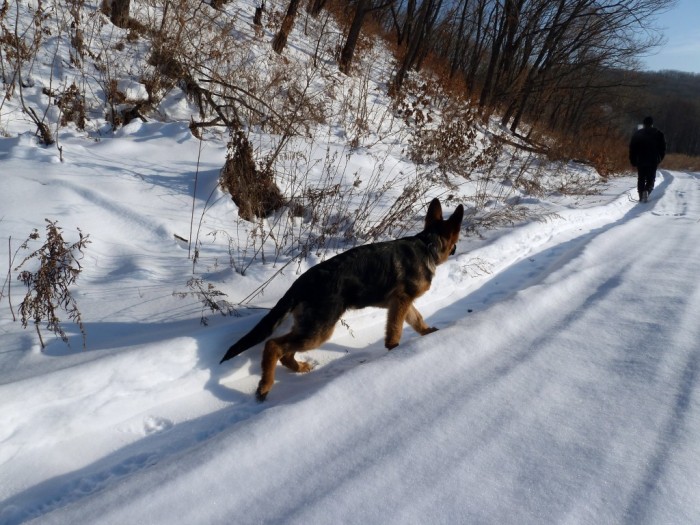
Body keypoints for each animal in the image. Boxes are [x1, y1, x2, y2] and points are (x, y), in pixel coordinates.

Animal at [221, 199, 462, 400]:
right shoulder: (401, 301)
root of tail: (302, 282)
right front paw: (395, 350)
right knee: (273, 345)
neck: (427, 245)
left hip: (311, 325)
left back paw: (298, 368)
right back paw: (265, 386)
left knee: (284, 352)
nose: (455, 250)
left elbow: (417, 320)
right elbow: (396, 329)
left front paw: (429, 333)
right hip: (320, 329)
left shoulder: (402, 303)